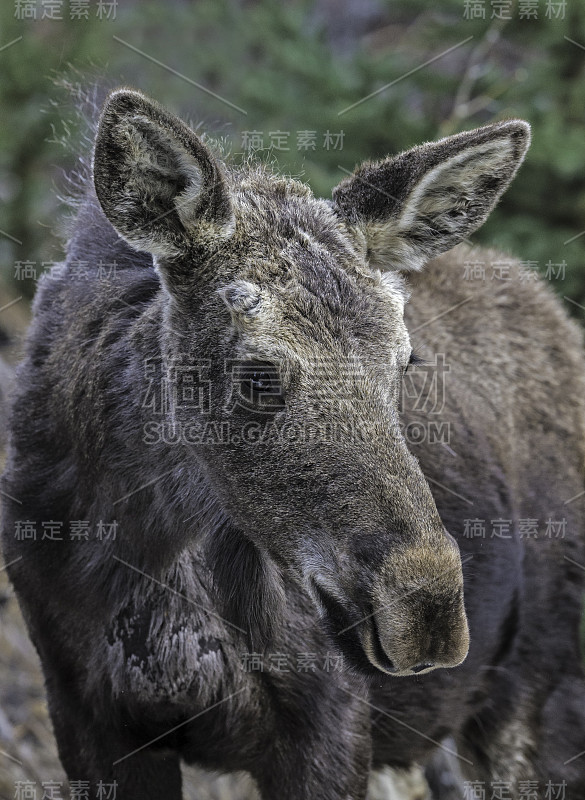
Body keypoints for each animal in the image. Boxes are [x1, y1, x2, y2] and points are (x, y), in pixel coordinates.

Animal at [1, 89, 584, 800]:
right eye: (258, 375)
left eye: (405, 362)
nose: (429, 610)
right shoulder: (87, 714)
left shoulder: (332, 719)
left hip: (541, 690)